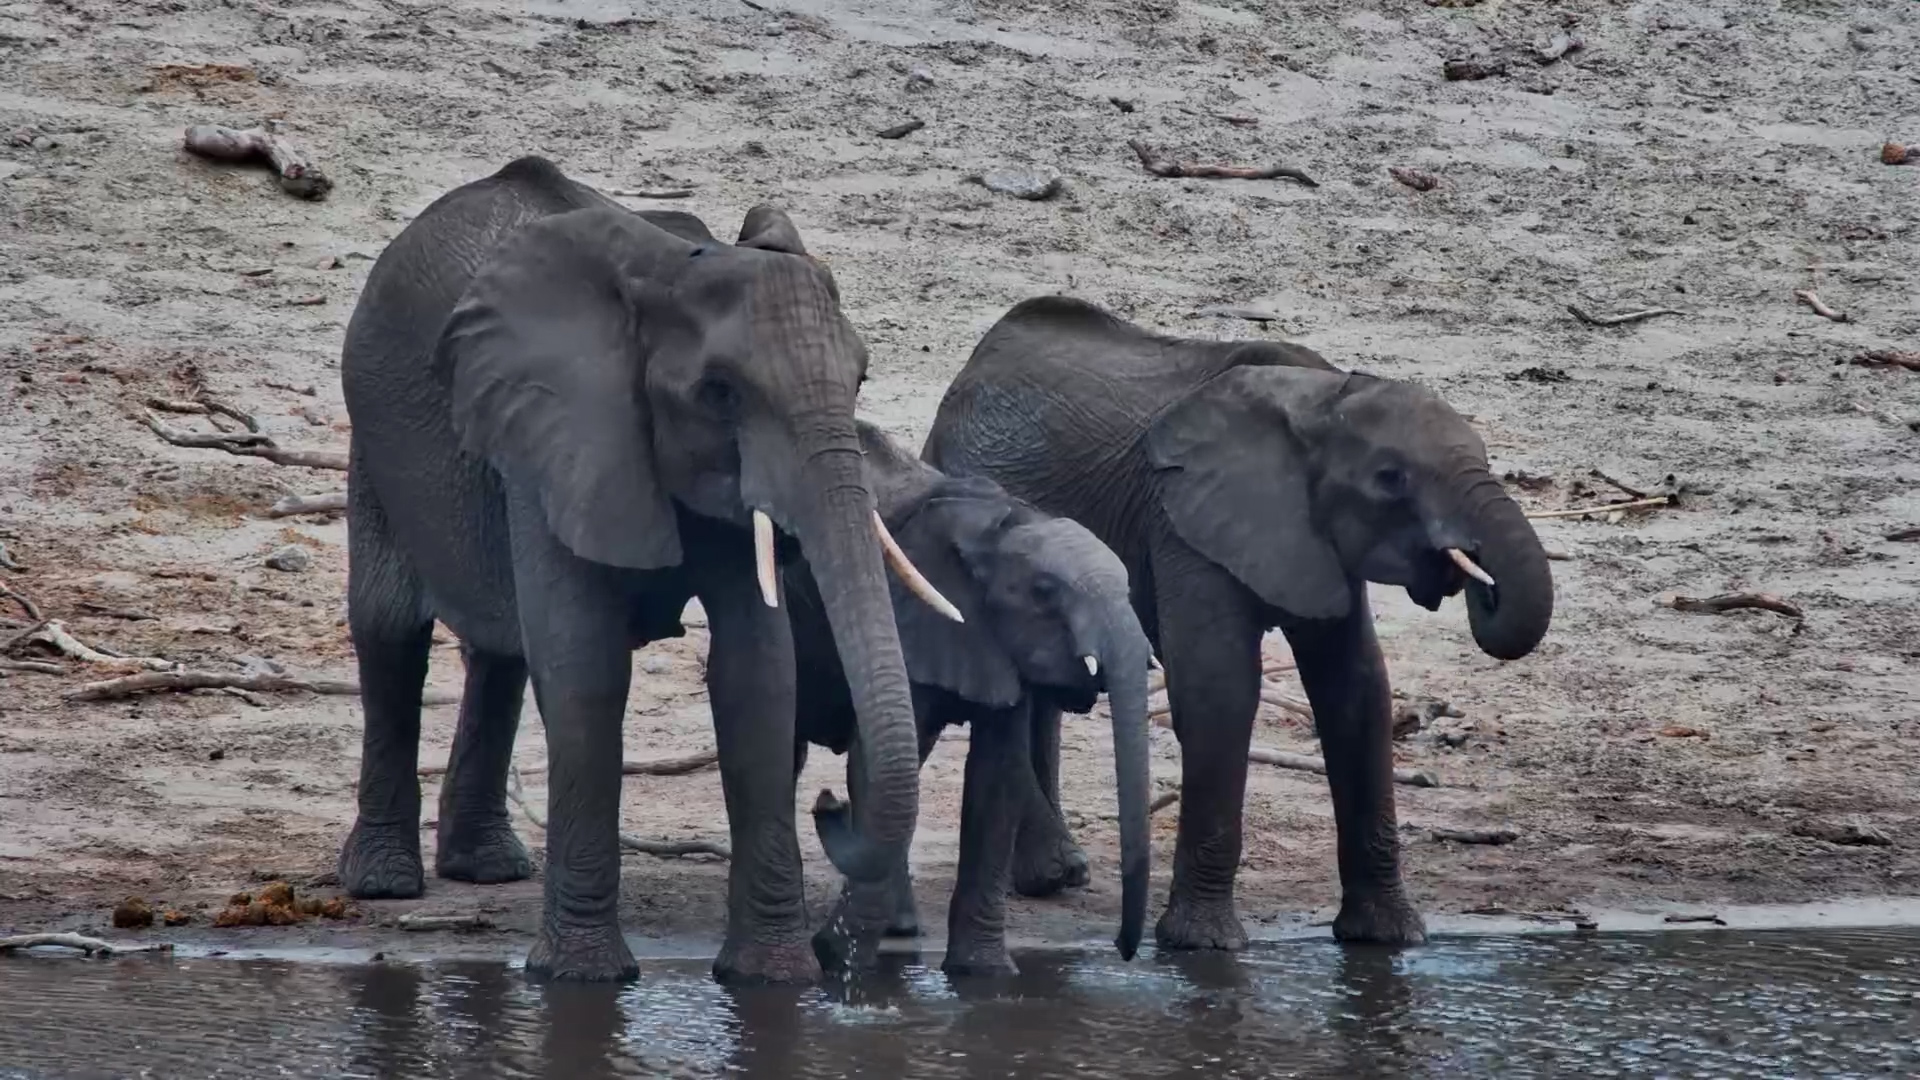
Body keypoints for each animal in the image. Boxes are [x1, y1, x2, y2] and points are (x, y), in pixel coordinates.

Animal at [336, 155, 960, 983]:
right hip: (373, 423)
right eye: (720, 393)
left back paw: (488, 869)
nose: (829, 803)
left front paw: (770, 978)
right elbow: (587, 664)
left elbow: (758, 673)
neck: (665, 273)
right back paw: (383, 882)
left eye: (859, 381)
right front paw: (583, 980)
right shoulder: (562, 427)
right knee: (390, 630)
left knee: (500, 648)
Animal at [784, 421, 1152, 976]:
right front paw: (859, 947)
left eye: (1130, 589)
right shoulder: (911, 615)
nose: (1124, 950)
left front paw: (984, 975)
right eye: (1045, 592)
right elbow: (879, 762)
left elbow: (997, 775)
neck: (1002, 525)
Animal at [923, 295, 1554, 951]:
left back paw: (1055, 876)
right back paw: (1052, 875)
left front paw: (1387, 939)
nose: (1474, 577)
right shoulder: (1181, 519)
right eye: (1390, 478)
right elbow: (1219, 688)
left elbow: (1356, 689)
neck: (1321, 399)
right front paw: (1204, 946)